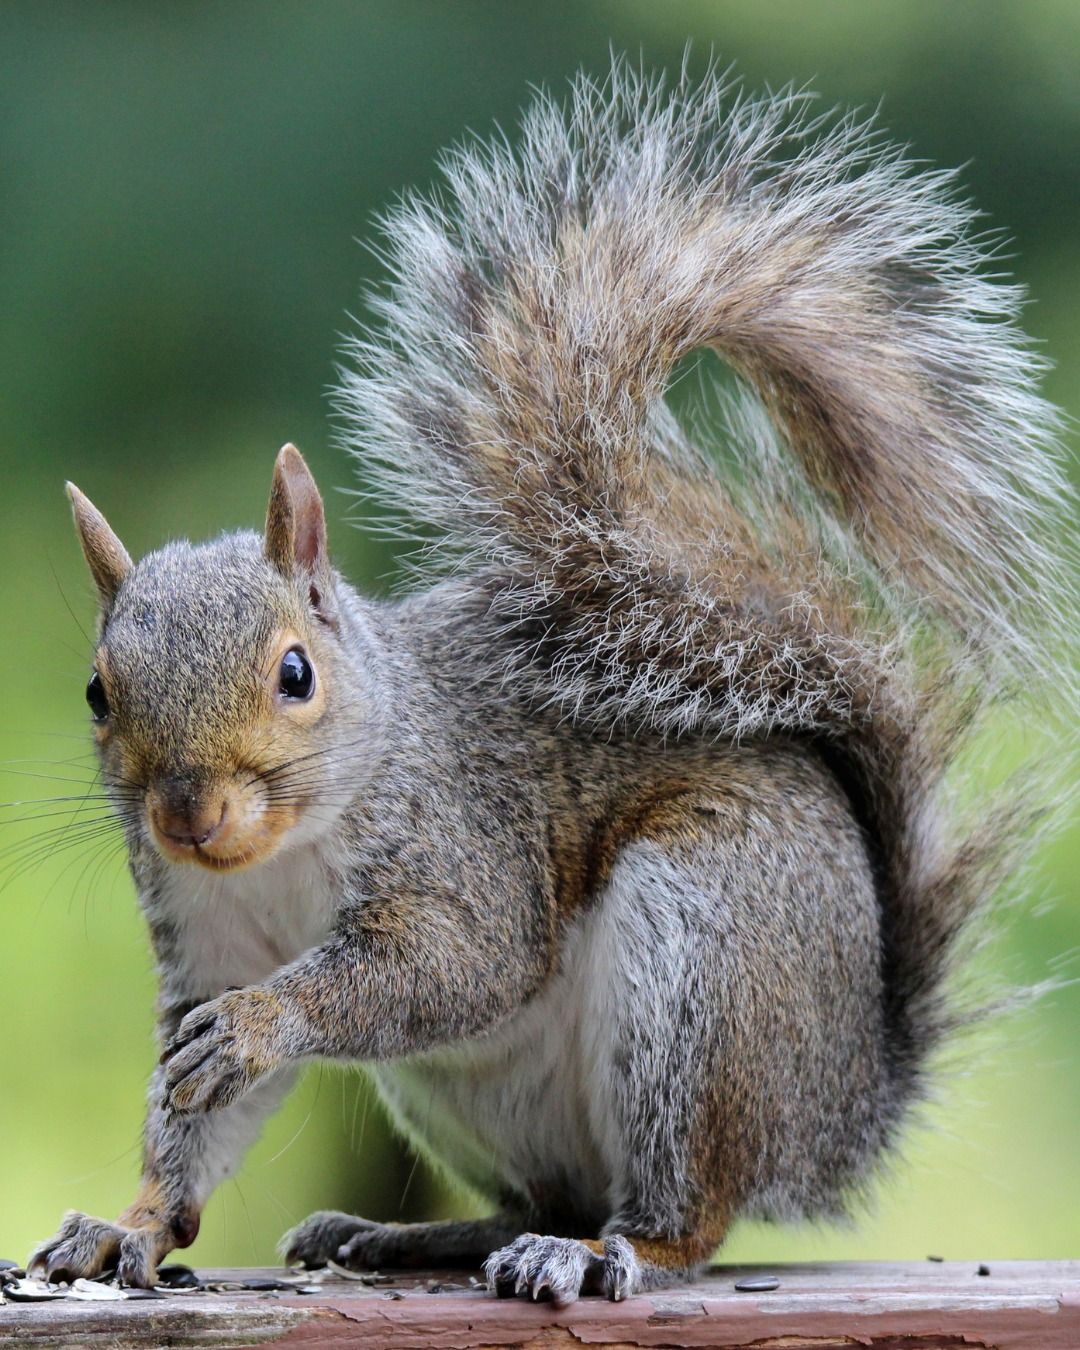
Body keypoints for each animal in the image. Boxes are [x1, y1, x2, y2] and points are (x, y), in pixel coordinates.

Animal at [28, 63, 1072, 1303]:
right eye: (98, 693)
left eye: (295, 672)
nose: (188, 815)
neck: (284, 851)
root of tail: (842, 1108)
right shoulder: (201, 938)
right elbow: (194, 1120)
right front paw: (127, 1227)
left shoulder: (467, 848)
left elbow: (448, 966)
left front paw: (262, 1025)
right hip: (473, 1093)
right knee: (551, 1194)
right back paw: (411, 1235)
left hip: (706, 964)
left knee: (683, 1213)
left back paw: (597, 1253)